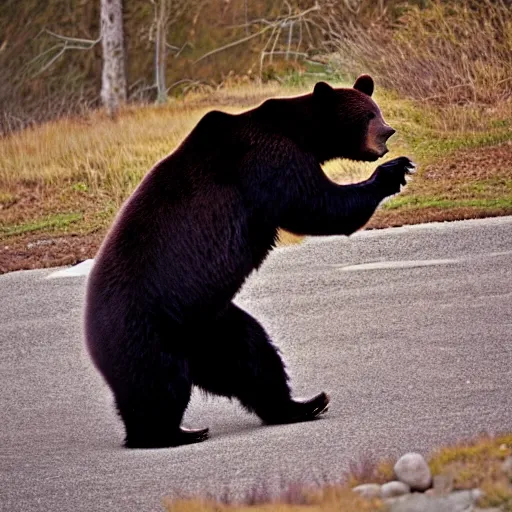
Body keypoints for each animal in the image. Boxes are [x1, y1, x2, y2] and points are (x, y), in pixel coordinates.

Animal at [82, 75, 414, 448]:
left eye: (376, 110)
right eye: (368, 116)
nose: (387, 133)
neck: (298, 132)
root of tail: (87, 329)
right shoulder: (267, 161)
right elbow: (318, 205)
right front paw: (393, 172)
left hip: (209, 325)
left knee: (250, 355)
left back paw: (302, 404)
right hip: (147, 325)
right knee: (158, 380)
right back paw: (170, 432)